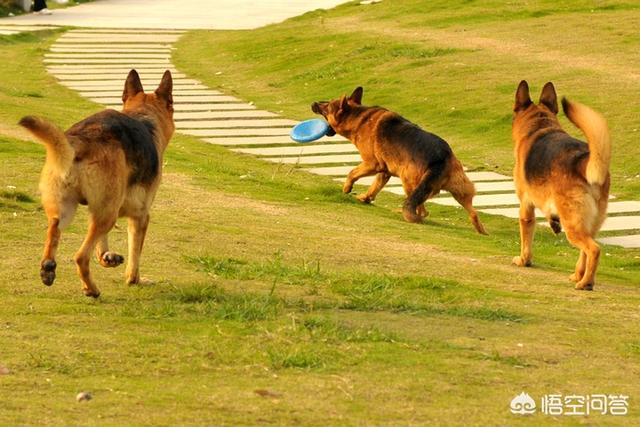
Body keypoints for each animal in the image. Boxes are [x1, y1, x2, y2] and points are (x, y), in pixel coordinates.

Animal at [20, 69, 175, 298]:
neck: (143, 115)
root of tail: (80, 141)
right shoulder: (140, 217)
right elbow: (135, 254)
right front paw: (134, 279)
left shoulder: (101, 208)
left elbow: (101, 244)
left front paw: (106, 257)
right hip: (107, 215)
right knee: (80, 257)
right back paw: (91, 289)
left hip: (67, 210)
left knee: (53, 232)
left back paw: (48, 269)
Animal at [312, 86, 488, 234]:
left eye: (327, 106)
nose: (313, 103)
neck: (359, 118)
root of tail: (439, 159)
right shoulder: (384, 172)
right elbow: (374, 187)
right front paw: (366, 198)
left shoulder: (371, 164)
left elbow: (352, 173)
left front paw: (347, 189)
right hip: (460, 192)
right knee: (472, 213)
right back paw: (482, 232)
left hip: (408, 182)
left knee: (422, 210)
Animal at [510, 81, 608, 290]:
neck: (539, 125)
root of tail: (584, 161)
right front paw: (553, 222)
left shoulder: (525, 207)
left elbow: (526, 239)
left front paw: (524, 261)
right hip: (589, 223)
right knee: (585, 251)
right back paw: (579, 276)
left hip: (573, 226)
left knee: (593, 249)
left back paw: (585, 283)